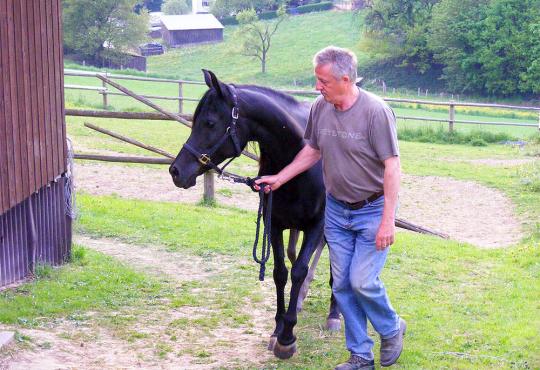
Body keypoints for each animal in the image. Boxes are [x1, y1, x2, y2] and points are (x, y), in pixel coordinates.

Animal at [169, 71, 340, 360]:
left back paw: (334, 314)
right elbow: (281, 272)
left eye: (210, 122)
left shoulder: (317, 225)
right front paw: (278, 329)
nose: (176, 171)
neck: (297, 160)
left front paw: (287, 337)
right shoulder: (276, 224)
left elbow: (299, 271)